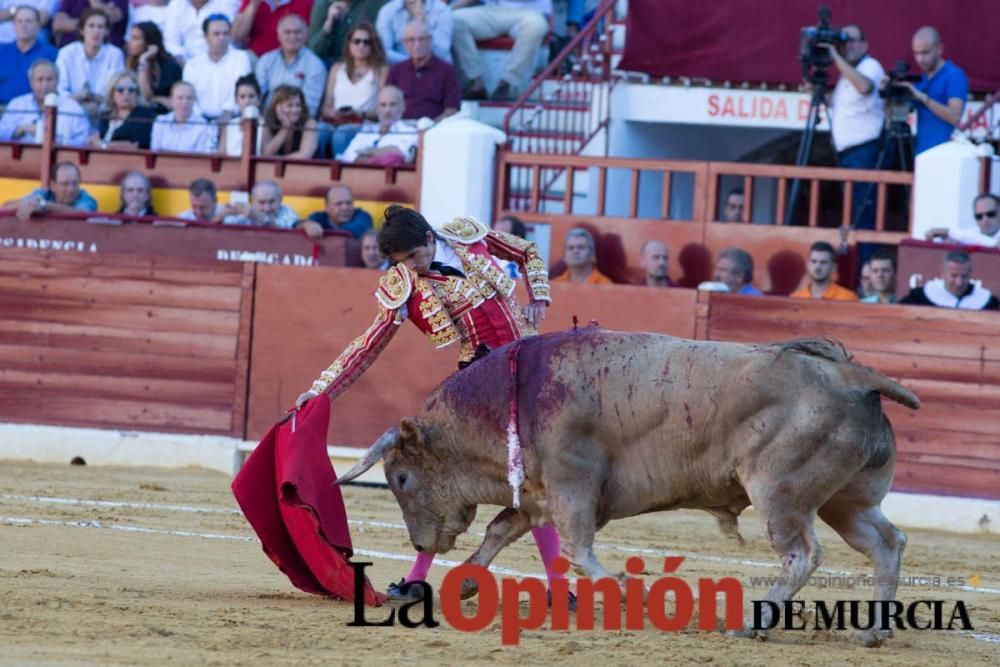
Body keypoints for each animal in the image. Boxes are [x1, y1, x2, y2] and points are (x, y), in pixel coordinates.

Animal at [336, 330, 920, 648]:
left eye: (401, 478)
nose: (421, 544)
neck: (509, 398)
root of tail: (855, 377)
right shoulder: (540, 492)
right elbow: (501, 531)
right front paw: (465, 585)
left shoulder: (572, 487)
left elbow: (576, 549)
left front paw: (625, 589)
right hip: (847, 501)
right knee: (886, 543)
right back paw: (873, 631)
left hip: (779, 494)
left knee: (802, 554)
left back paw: (750, 624)